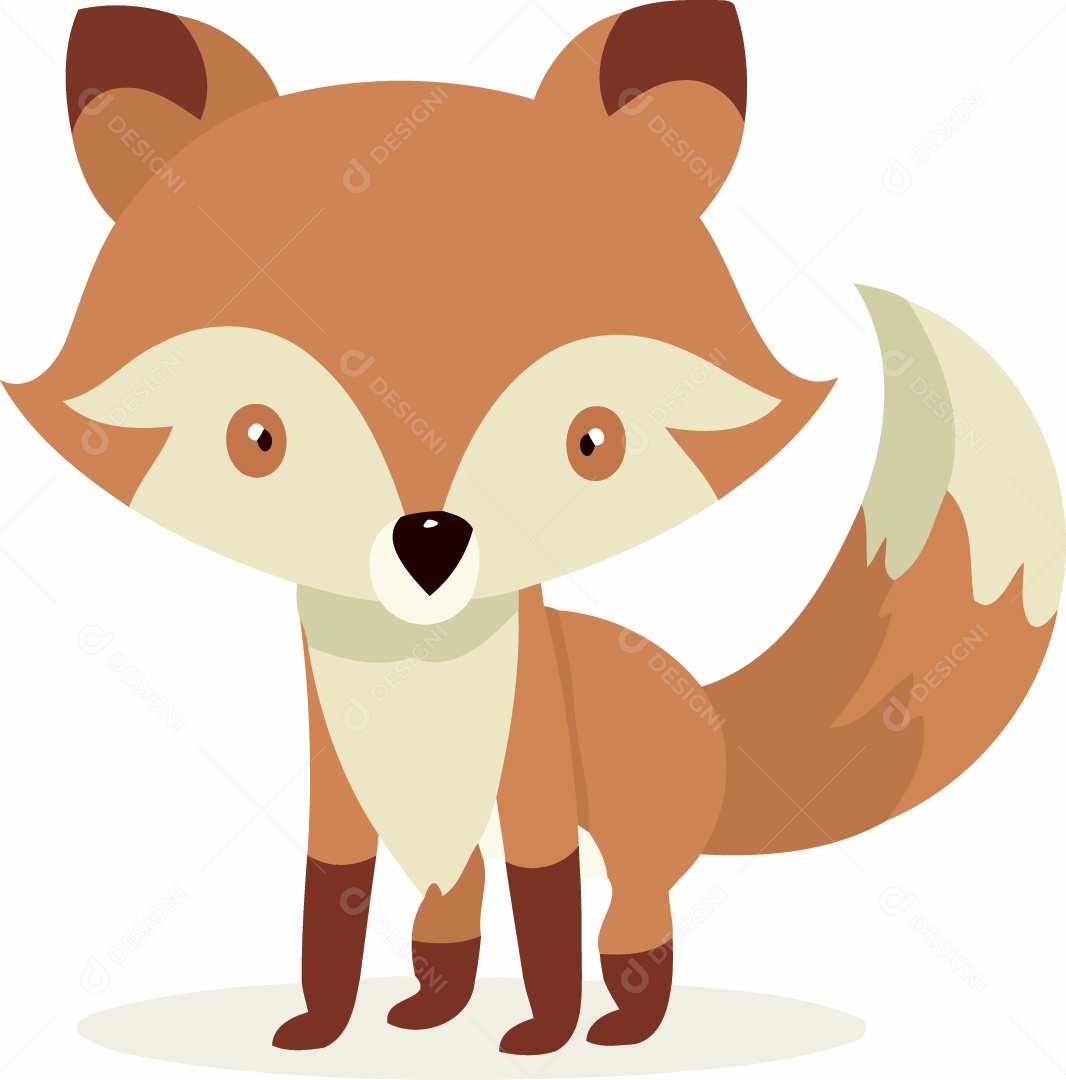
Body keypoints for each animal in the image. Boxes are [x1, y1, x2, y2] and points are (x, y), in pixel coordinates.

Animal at [5, 0, 1062, 1059]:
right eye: (257, 437)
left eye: (592, 441)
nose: (430, 540)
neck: (420, 674)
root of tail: (703, 706)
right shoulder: (341, 792)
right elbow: (333, 906)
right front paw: (322, 1028)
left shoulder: (537, 785)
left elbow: (546, 907)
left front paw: (546, 1035)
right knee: (454, 903)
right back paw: (432, 1007)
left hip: (635, 837)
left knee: (632, 917)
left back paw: (625, 1024)